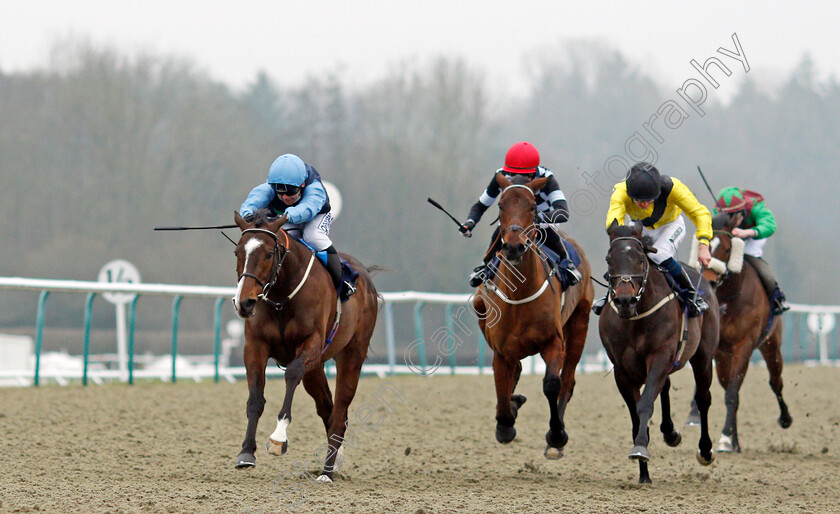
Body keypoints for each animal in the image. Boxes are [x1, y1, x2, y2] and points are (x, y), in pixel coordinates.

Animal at [231, 208, 378, 480]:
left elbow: (291, 374)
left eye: (269, 254)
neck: (281, 297)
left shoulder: (311, 343)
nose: (244, 303)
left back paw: (327, 471)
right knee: (327, 407)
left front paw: (278, 438)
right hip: (317, 367)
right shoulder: (255, 346)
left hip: (352, 355)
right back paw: (335, 459)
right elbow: (255, 398)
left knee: (340, 410)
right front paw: (246, 452)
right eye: (238, 252)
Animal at [470, 172, 592, 456]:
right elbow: (501, 386)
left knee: (568, 380)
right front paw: (505, 422)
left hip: (579, 323)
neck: (519, 297)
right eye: (501, 205)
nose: (514, 246)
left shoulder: (553, 341)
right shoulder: (501, 350)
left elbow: (552, 384)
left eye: (533, 206)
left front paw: (556, 435)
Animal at [600, 219, 720, 480]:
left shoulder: (660, 356)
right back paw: (670, 433)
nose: (625, 300)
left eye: (640, 259)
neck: (636, 319)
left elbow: (645, 403)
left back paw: (705, 450)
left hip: (703, 356)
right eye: (609, 258)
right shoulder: (622, 370)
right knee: (665, 387)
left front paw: (640, 449)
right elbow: (637, 413)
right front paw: (643, 471)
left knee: (703, 398)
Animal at [684, 210, 792, 450]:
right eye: (703, 246)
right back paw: (736, 441)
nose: (708, 283)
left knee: (775, 382)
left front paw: (725, 438)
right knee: (727, 384)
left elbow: (733, 393)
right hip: (724, 356)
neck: (728, 301)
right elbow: (716, 388)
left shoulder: (745, 344)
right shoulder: (714, 347)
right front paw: (696, 416)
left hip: (771, 345)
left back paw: (784, 419)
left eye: (726, 249)